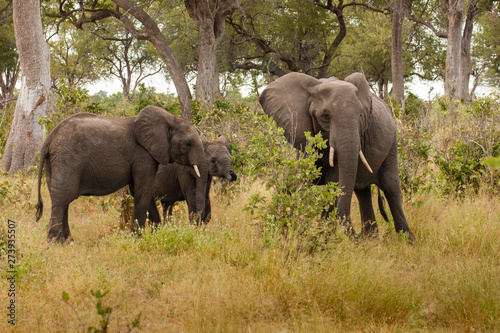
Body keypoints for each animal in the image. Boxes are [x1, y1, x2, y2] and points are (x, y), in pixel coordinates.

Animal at [35, 105, 207, 243]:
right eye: (189, 143)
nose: (197, 227)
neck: (170, 118)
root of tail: (49, 138)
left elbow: (141, 192)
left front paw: (158, 234)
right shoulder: (142, 154)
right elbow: (143, 191)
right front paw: (137, 239)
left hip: (54, 163)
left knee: (60, 196)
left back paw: (68, 241)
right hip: (67, 159)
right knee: (63, 196)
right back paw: (55, 243)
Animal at [258, 71, 414, 240]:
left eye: (361, 115)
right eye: (325, 116)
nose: (355, 234)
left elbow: (333, 181)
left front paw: (322, 240)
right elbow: (297, 180)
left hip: (392, 141)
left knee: (390, 185)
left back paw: (406, 240)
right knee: (362, 191)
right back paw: (369, 238)